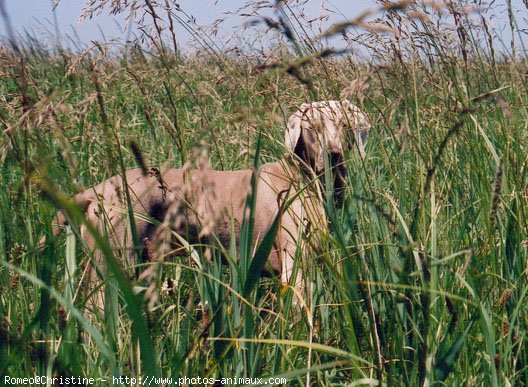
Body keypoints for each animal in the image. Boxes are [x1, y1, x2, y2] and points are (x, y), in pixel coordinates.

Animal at [45, 99, 372, 312]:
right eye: (312, 127)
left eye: (344, 125)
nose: (334, 155)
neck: (304, 179)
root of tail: (97, 190)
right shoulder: (294, 265)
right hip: (111, 263)